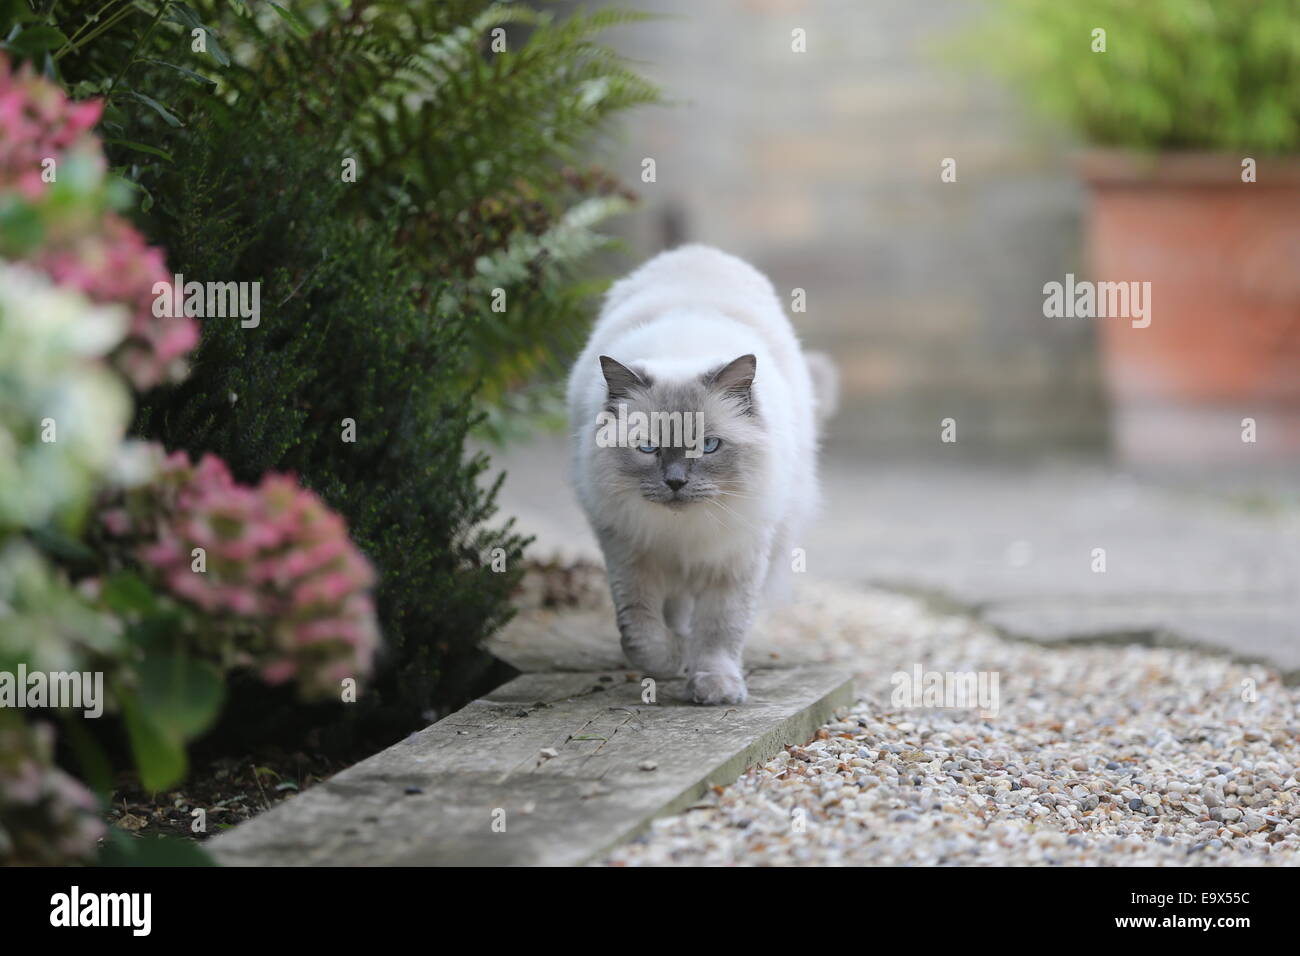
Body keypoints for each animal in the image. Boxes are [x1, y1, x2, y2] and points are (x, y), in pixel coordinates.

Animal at [566, 244, 832, 702]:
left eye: (706, 446)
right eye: (648, 448)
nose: (675, 482)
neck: (684, 533)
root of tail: (697, 252)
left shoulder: (733, 563)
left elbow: (719, 633)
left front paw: (715, 686)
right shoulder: (631, 558)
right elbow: (642, 635)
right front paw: (673, 661)